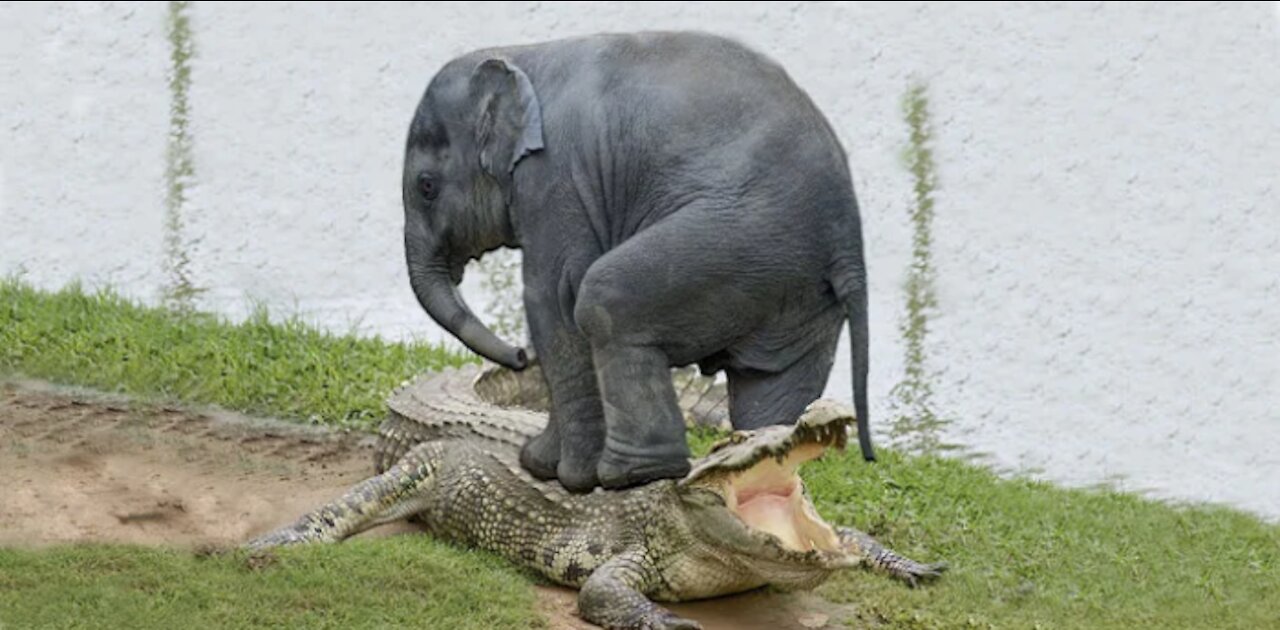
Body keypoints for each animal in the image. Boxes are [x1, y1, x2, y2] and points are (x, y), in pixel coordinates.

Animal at [404, 30, 875, 491]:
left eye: (426, 187)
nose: (519, 356)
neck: (523, 54)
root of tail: (848, 240)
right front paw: (545, 466)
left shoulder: (555, 179)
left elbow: (552, 299)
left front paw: (558, 473)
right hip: (798, 288)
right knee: (769, 379)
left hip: (739, 239)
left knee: (603, 302)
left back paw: (633, 475)